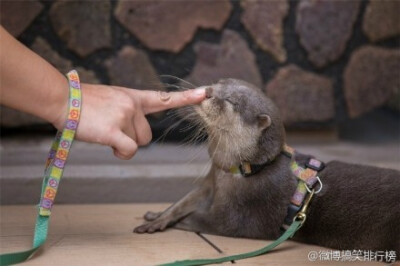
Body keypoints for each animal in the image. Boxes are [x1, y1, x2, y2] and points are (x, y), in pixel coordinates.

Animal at [134, 78, 400, 256]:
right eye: (219, 83)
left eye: (230, 101)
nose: (208, 91)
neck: (243, 171)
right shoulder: (211, 180)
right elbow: (183, 202)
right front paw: (158, 215)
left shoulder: (237, 214)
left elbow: (198, 218)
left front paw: (162, 223)